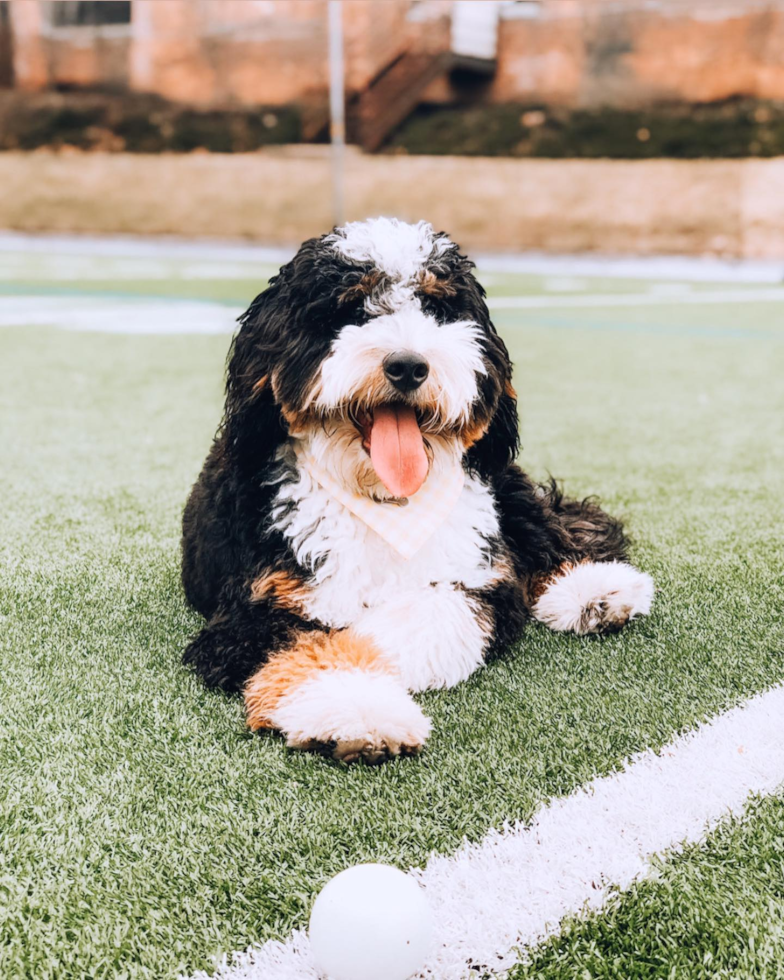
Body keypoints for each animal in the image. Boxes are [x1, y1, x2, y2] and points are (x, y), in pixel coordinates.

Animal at [181, 218, 652, 760]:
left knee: (548, 529)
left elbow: (428, 613)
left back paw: (597, 589)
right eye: (350, 310)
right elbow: (312, 642)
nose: (408, 365)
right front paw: (356, 710)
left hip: (502, 483)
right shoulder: (249, 613)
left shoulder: (480, 578)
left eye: (437, 308)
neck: (387, 503)